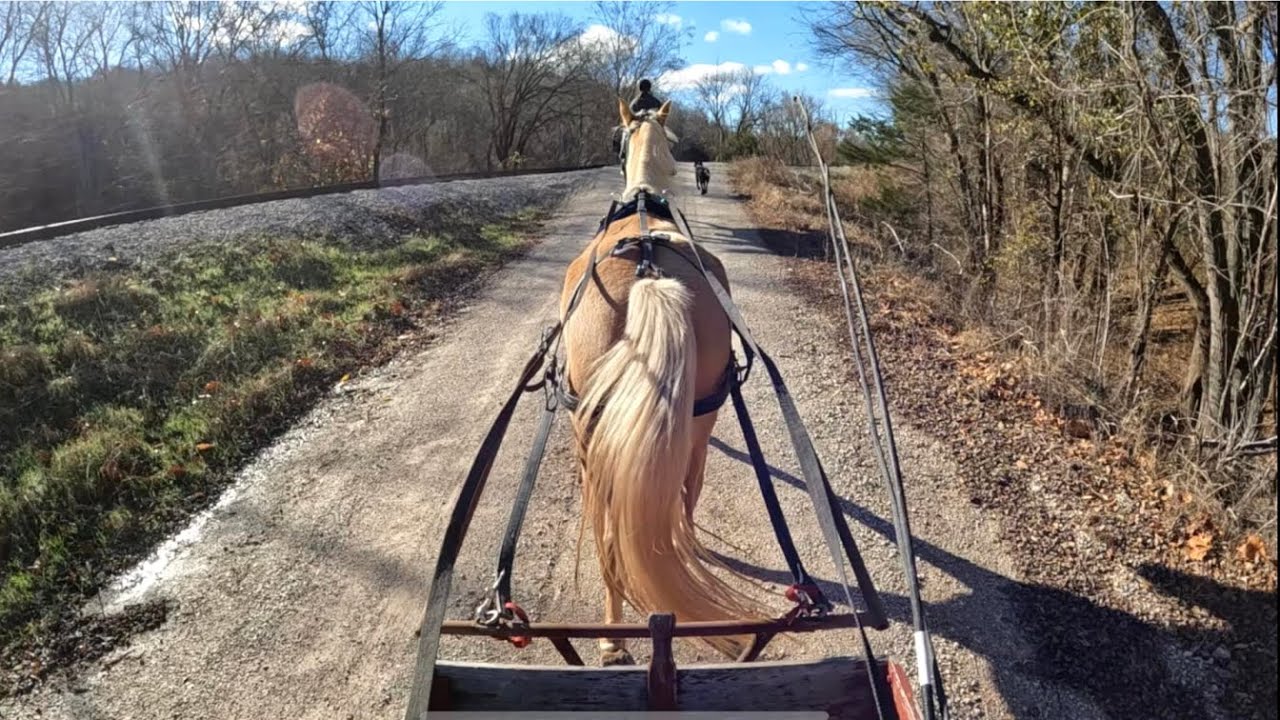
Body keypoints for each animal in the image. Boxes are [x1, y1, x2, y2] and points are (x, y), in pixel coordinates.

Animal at [558, 99, 762, 666]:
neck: (644, 204)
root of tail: (649, 274)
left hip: (592, 437)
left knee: (611, 535)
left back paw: (611, 637)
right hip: (699, 419)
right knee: (685, 499)